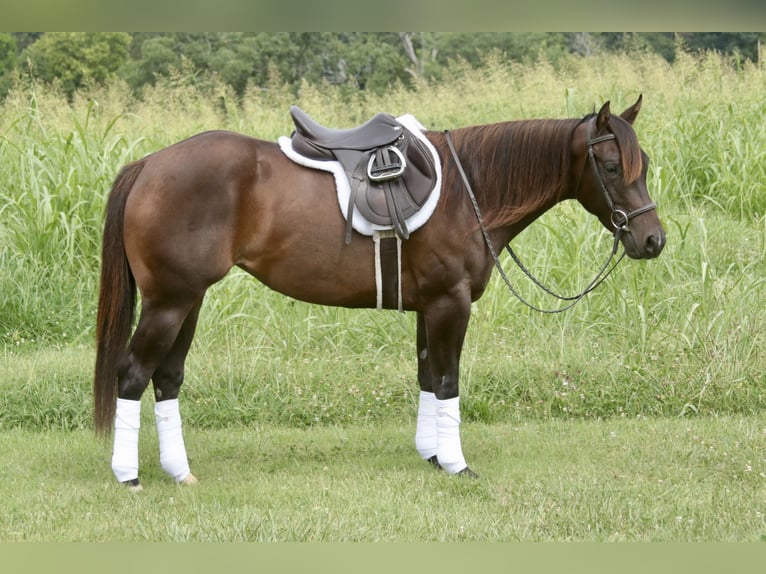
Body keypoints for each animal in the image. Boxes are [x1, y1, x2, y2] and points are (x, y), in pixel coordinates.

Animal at [93, 95, 665, 489]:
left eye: (644, 164)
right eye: (611, 167)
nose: (652, 239)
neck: (470, 190)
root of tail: (149, 165)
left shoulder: (428, 305)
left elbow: (427, 376)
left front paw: (432, 454)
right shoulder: (450, 302)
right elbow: (449, 380)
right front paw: (456, 463)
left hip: (188, 301)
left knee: (167, 378)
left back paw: (179, 472)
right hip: (169, 302)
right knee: (133, 375)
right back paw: (128, 475)